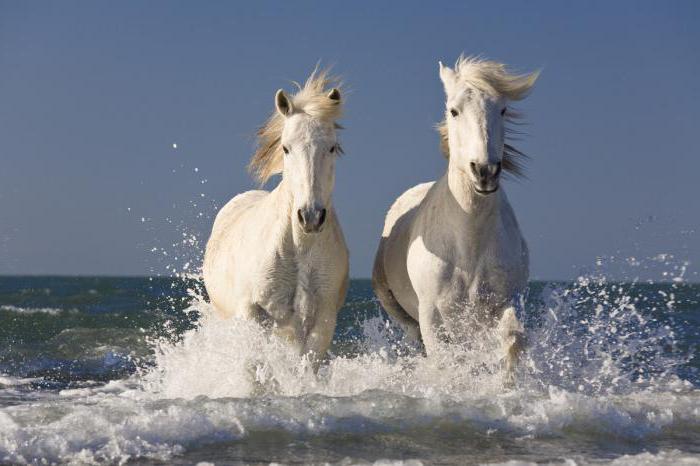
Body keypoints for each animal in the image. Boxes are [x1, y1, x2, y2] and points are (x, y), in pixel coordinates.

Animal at [205, 69, 352, 368]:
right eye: (286, 148)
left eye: (332, 147)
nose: (310, 217)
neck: (299, 248)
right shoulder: (251, 311)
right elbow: (255, 365)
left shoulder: (322, 318)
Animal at [374, 55, 540, 382]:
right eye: (454, 110)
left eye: (503, 109)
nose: (485, 171)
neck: (469, 243)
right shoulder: (431, 315)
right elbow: (445, 360)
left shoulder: (501, 303)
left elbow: (513, 339)